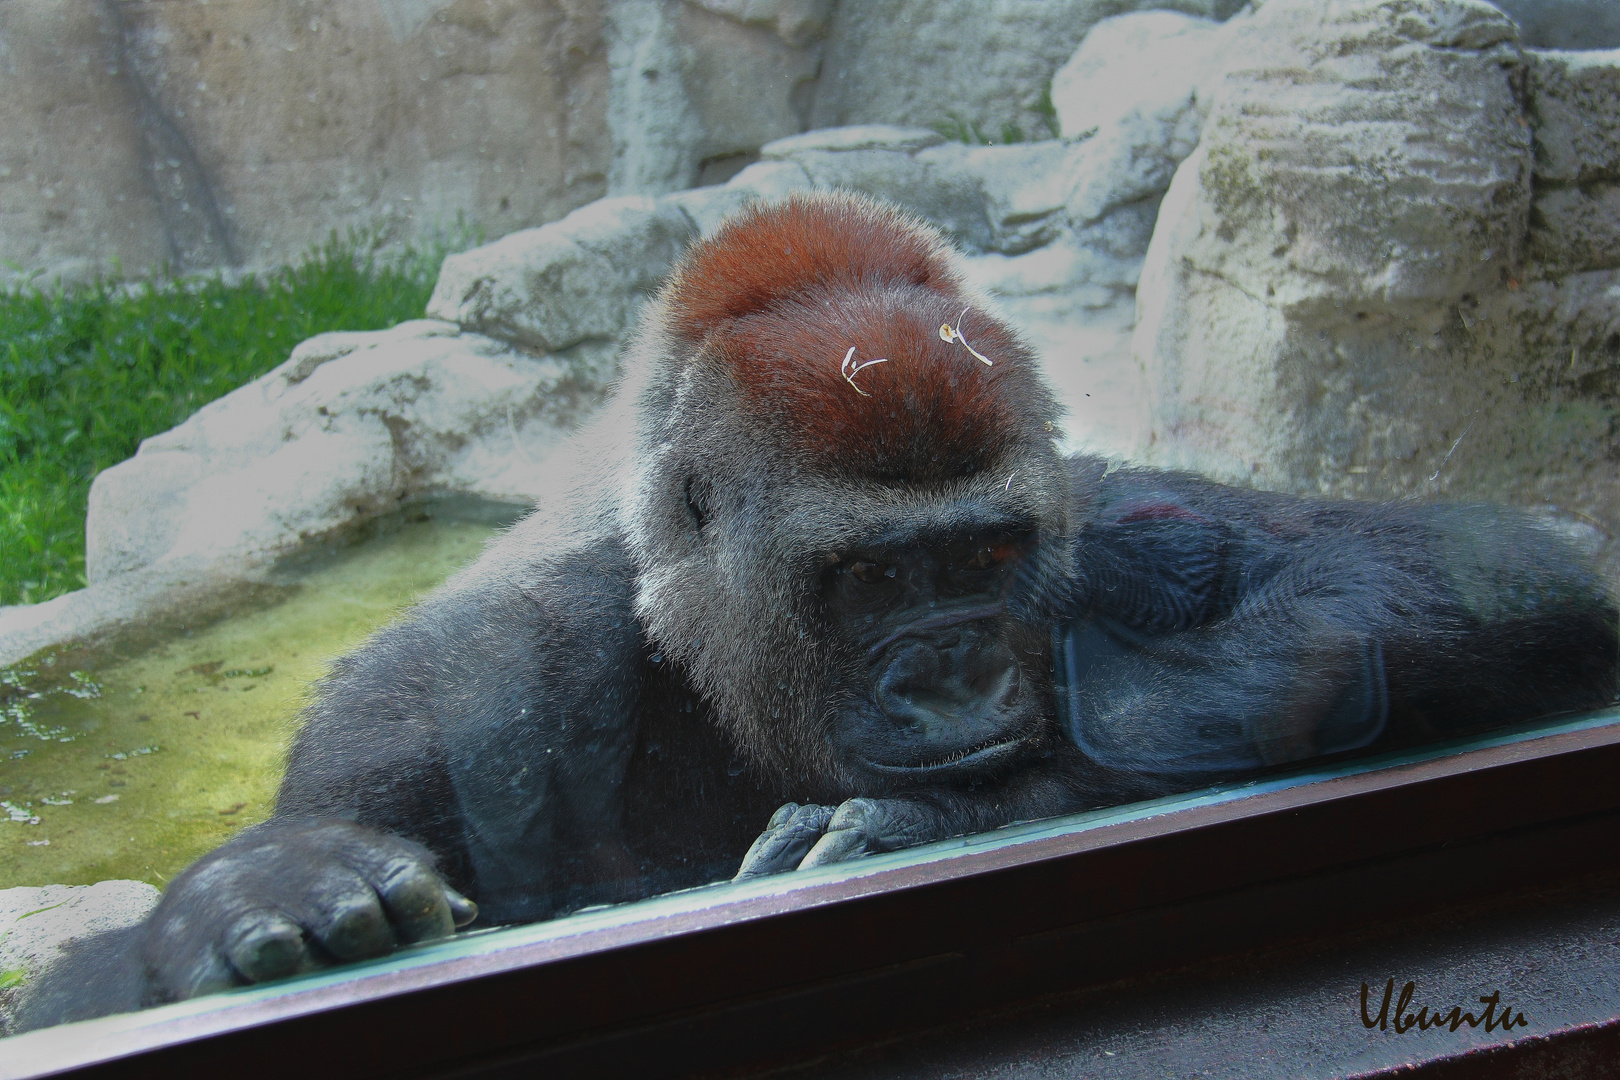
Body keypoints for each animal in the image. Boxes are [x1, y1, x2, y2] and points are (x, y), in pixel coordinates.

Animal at [15, 190, 1620, 1029]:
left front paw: (959, 813)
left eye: (986, 560)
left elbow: (1504, 565)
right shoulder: (460, 686)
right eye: (871, 580)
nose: (962, 682)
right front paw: (248, 897)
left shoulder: (1096, 514)